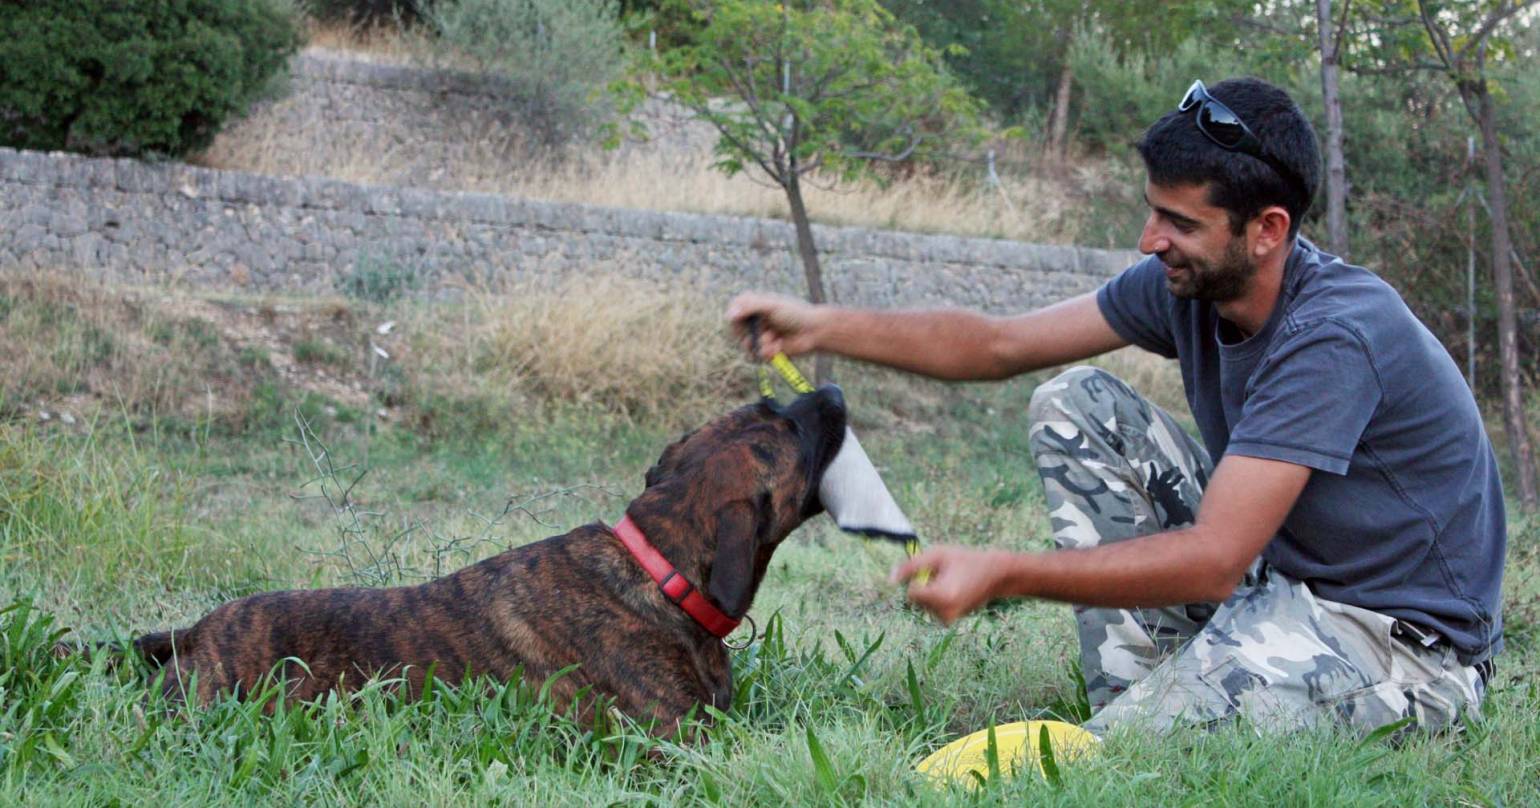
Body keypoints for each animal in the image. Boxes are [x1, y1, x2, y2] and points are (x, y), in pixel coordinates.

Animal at [130, 386, 850, 729]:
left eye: (772, 404)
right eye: (790, 428)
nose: (835, 391)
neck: (657, 569)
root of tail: (197, 630)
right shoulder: (680, 738)